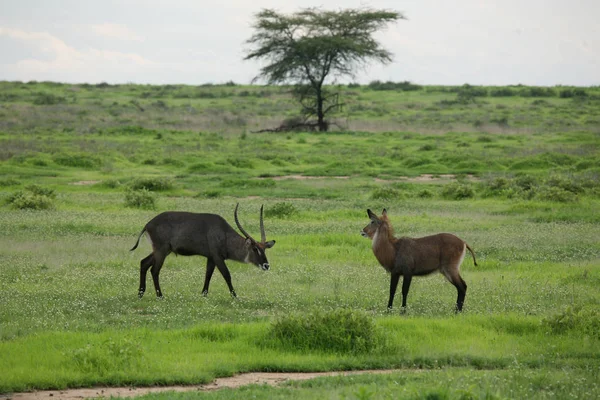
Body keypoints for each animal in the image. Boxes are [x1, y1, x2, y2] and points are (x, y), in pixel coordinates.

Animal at [131, 205, 276, 298]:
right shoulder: (217, 257)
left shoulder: (210, 258)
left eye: (264, 249)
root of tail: (148, 224)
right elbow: (227, 275)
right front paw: (235, 296)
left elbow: (208, 275)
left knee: (144, 263)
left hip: (162, 251)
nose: (266, 265)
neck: (224, 234)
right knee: (154, 270)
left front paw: (204, 294)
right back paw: (160, 296)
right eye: (255, 249)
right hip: (161, 251)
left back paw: (140, 293)